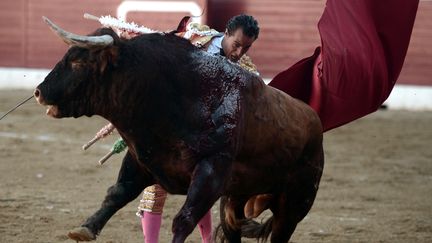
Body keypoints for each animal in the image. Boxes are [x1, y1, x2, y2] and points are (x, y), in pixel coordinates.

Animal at [33, 17, 324, 243]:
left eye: (78, 63)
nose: (39, 92)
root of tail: (315, 121)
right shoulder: (143, 158)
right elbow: (117, 193)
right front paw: (85, 228)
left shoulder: (211, 170)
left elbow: (184, 219)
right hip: (235, 199)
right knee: (232, 227)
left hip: (295, 203)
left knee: (279, 232)